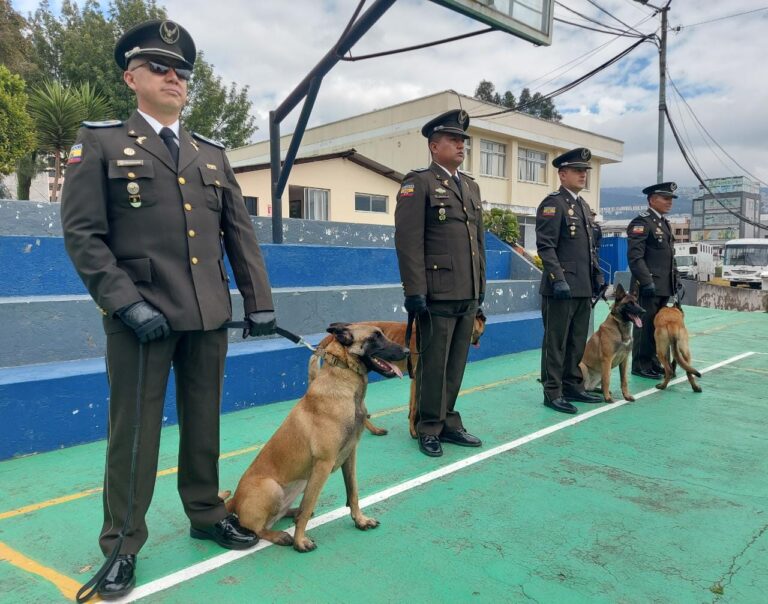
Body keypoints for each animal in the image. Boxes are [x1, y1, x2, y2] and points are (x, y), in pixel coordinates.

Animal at [222, 326, 408, 552]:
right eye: (374, 337)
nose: (408, 351)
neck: (344, 378)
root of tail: (235, 499)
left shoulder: (350, 456)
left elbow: (353, 492)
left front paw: (360, 520)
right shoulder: (323, 464)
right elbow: (309, 503)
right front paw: (300, 540)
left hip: (300, 483)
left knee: (282, 513)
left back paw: (291, 512)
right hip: (272, 487)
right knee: (256, 528)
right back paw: (280, 535)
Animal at [308, 310, 484, 436]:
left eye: (479, 333)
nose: (477, 342)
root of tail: (331, 335)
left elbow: (414, 404)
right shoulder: (418, 378)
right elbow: (414, 406)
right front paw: (414, 431)